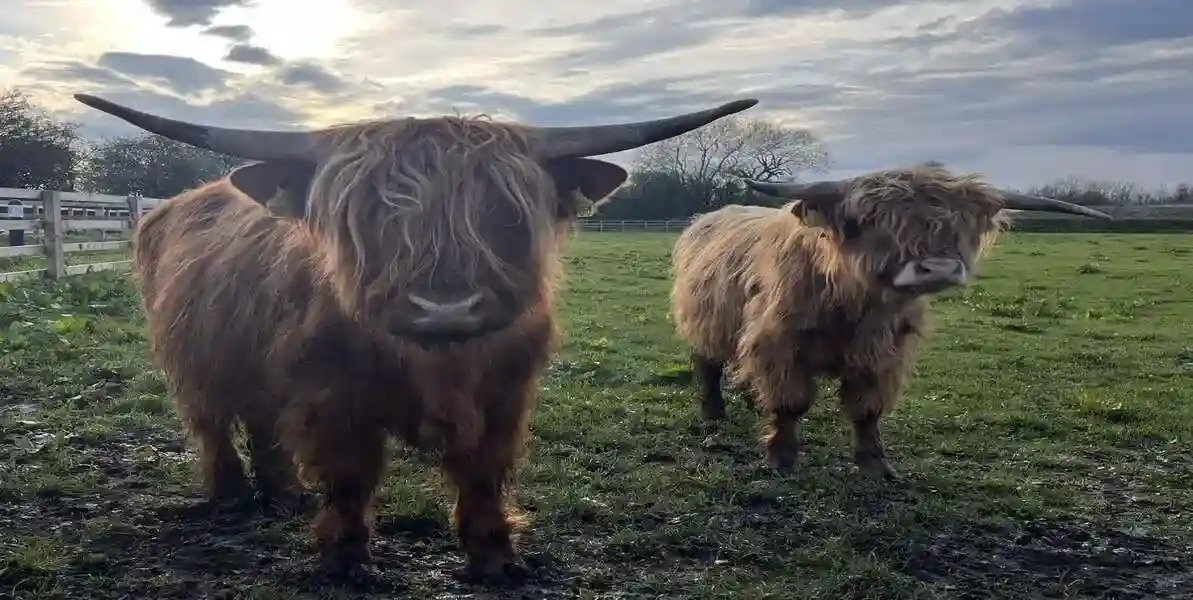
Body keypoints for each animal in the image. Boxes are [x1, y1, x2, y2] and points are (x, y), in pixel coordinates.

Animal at [74, 93, 758, 581]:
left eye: (504, 213)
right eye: (368, 216)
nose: (443, 306)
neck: (438, 366)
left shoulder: (506, 394)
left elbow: (484, 473)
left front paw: (496, 558)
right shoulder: (332, 397)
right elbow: (351, 477)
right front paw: (344, 563)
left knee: (264, 424)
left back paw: (285, 492)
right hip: (194, 361)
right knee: (214, 424)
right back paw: (233, 495)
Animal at [669, 166, 1110, 480]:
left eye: (960, 225)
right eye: (869, 221)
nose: (938, 267)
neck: (854, 307)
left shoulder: (885, 353)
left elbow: (868, 411)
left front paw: (875, 464)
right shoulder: (779, 343)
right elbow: (790, 403)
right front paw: (781, 457)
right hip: (704, 325)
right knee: (709, 366)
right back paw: (714, 413)